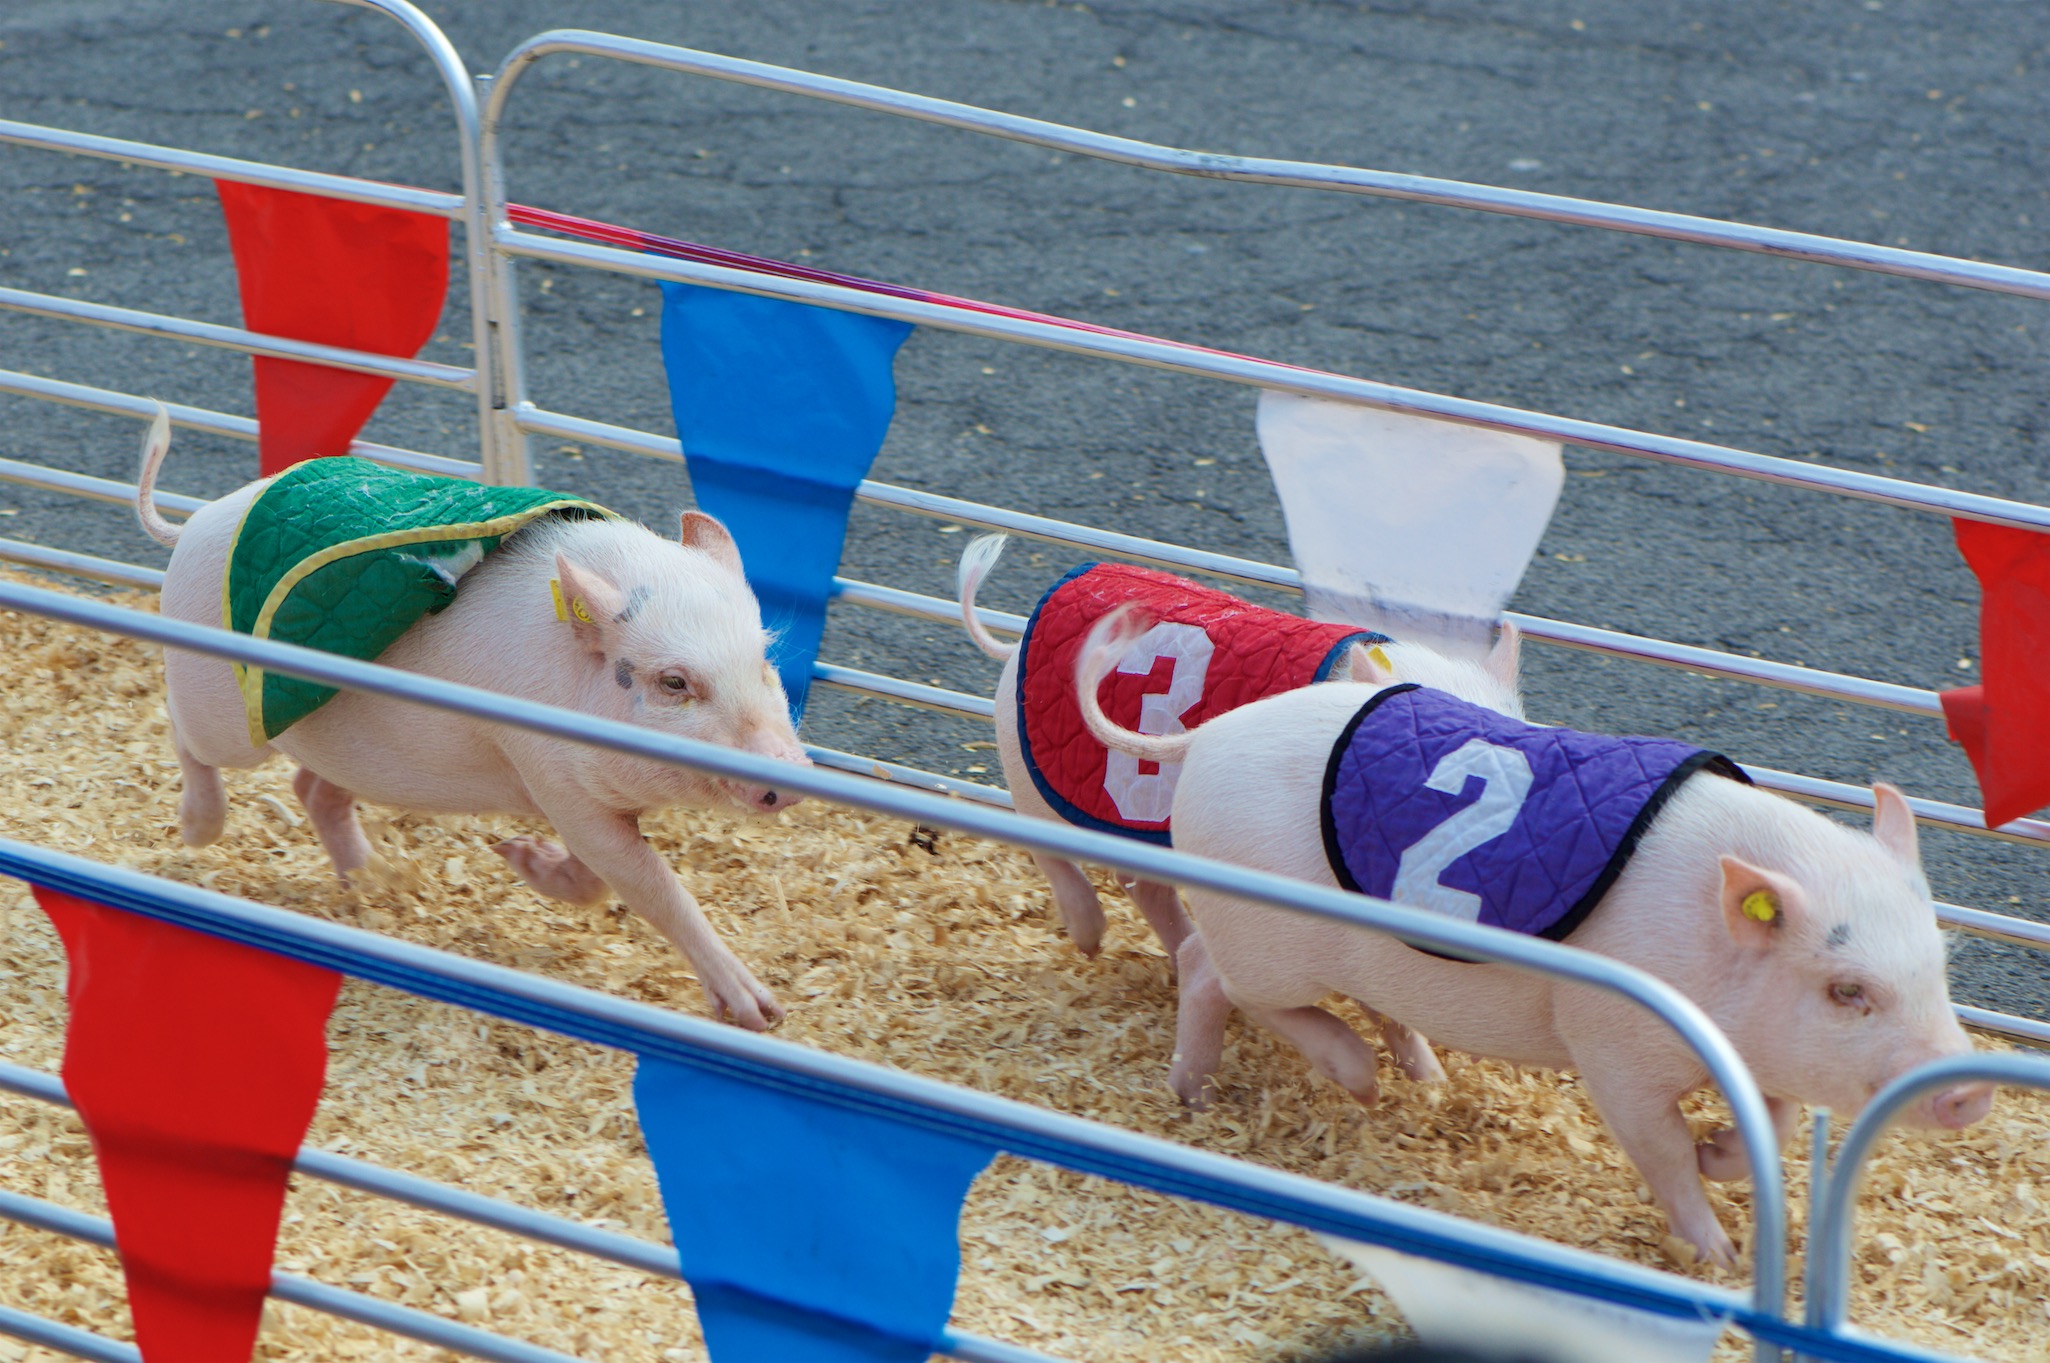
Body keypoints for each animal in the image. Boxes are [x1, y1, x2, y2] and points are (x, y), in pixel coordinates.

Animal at [132, 409, 807, 1024]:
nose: (791, 773)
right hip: (221, 710)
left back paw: (376, 885)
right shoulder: (551, 777)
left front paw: (516, 853)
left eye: (764, 661)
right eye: (674, 682)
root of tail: (194, 523)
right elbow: (648, 884)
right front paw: (761, 1014)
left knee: (312, 788)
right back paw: (198, 830)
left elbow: (601, 876)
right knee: (182, 728)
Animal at [1074, 606, 1984, 1262]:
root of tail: (1210, 734)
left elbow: (1781, 1117)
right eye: (1847, 989)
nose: (1970, 1090)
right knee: (1207, 969)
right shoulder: (1613, 1044)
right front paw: (1719, 1255)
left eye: (1938, 966)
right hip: (1265, 937)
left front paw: (1724, 1156)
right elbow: (1658, 1147)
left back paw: (1420, 1081)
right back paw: (1279, 1088)